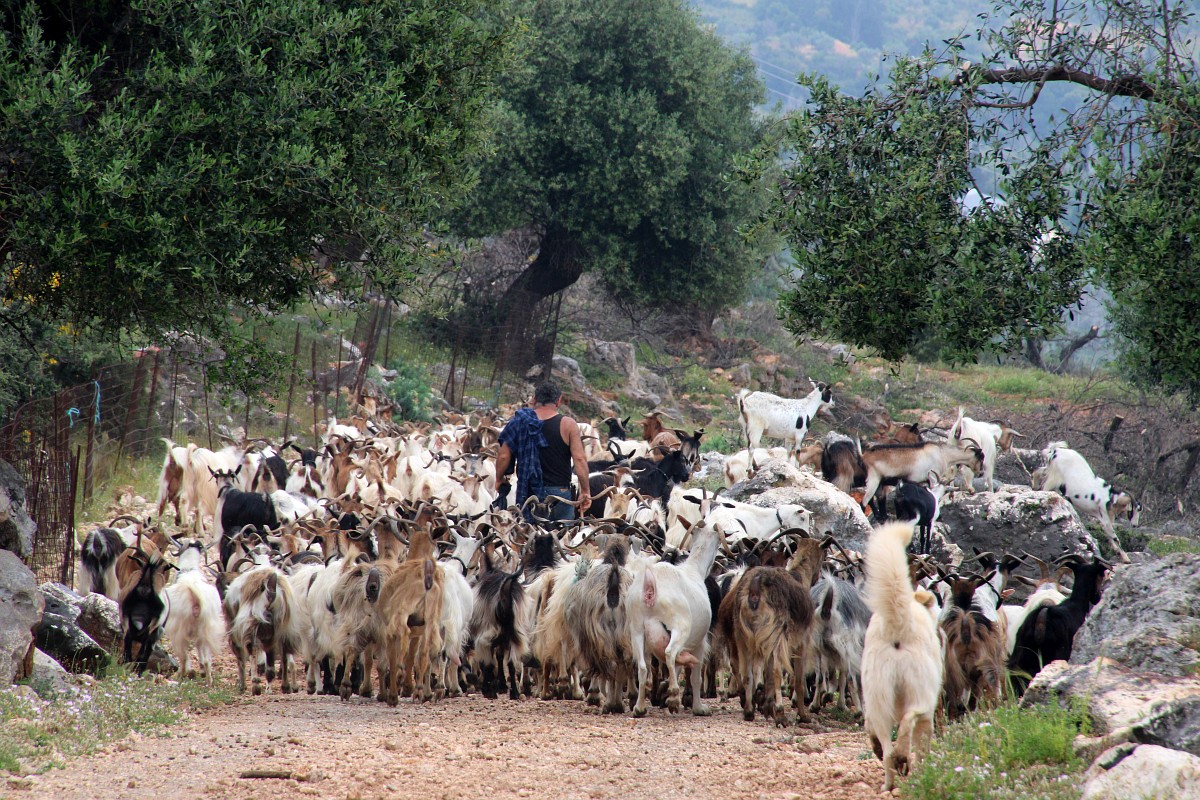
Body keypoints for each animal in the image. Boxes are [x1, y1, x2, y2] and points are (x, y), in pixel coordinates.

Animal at [860, 522, 944, 792]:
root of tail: (898, 624)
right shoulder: (928, 717)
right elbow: (923, 748)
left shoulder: (871, 710)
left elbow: (869, 729)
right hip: (921, 693)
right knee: (908, 721)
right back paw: (903, 758)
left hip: (878, 697)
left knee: (887, 750)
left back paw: (888, 783)